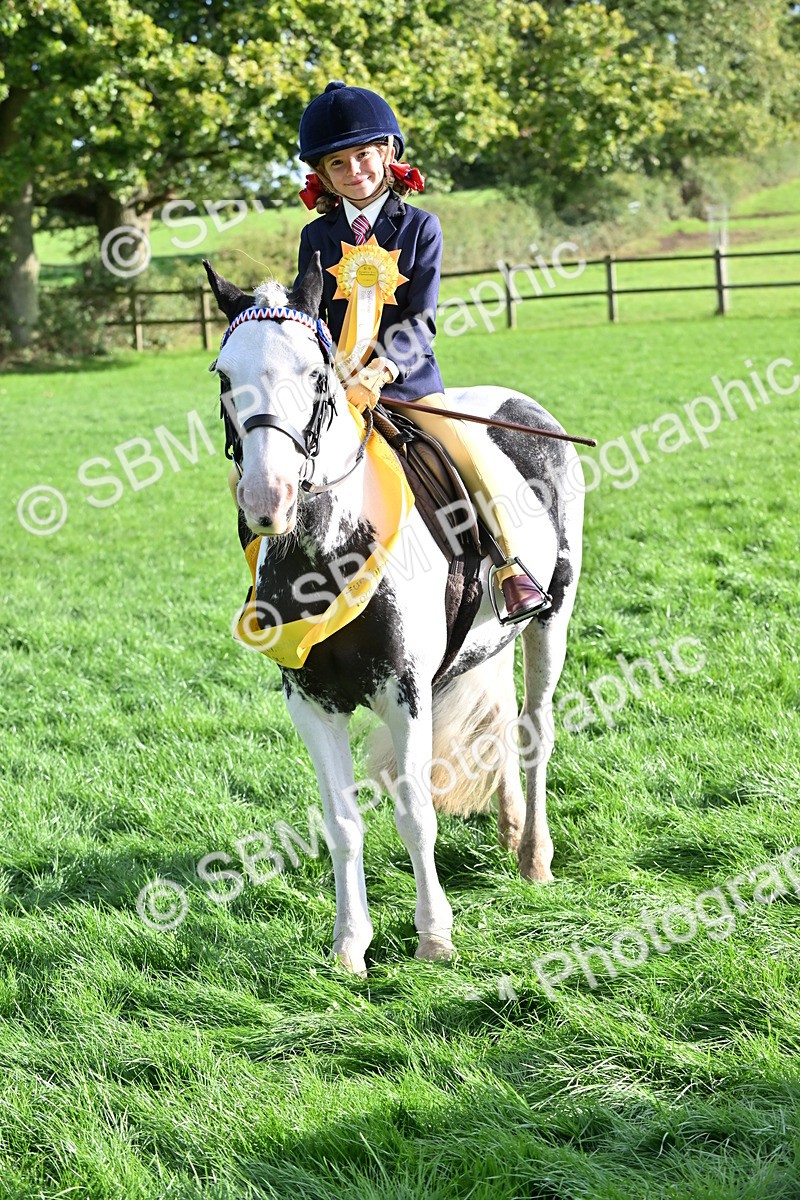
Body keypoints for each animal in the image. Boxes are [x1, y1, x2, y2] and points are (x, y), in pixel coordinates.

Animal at [204, 254, 585, 976]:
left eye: (316, 373)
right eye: (224, 375)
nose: (268, 498)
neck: (328, 549)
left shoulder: (404, 691)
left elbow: (414, 811)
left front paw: (434, 937)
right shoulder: (310, 700)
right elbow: (341, 821)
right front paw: (350, 946)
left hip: (552, 617)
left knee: (534, 729)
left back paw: (534, 857)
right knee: (501, 722)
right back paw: (510, 829)